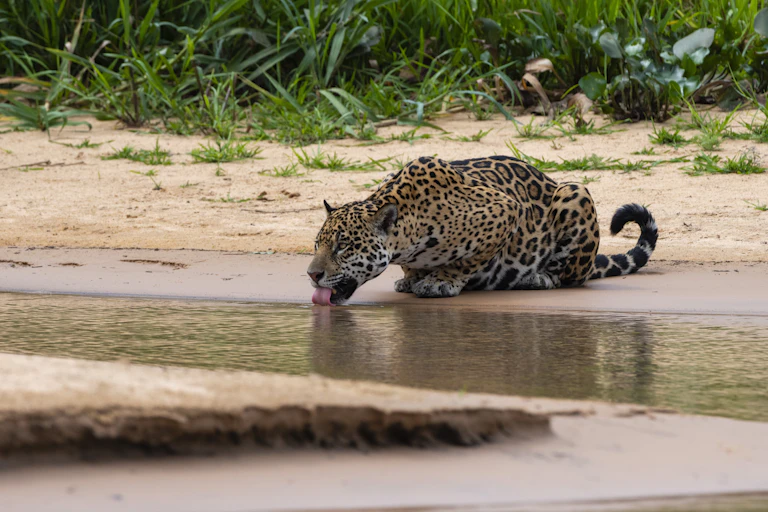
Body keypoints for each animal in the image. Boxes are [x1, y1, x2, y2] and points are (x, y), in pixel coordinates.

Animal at [308, 155, 658, 305]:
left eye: (343, 246)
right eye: (316, 245)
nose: (312, 274)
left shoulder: (504, 210)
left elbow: (466, 261)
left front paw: (440, 282)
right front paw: (412, 279)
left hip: (575, 192)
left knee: (571, 276)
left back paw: (537, 278)